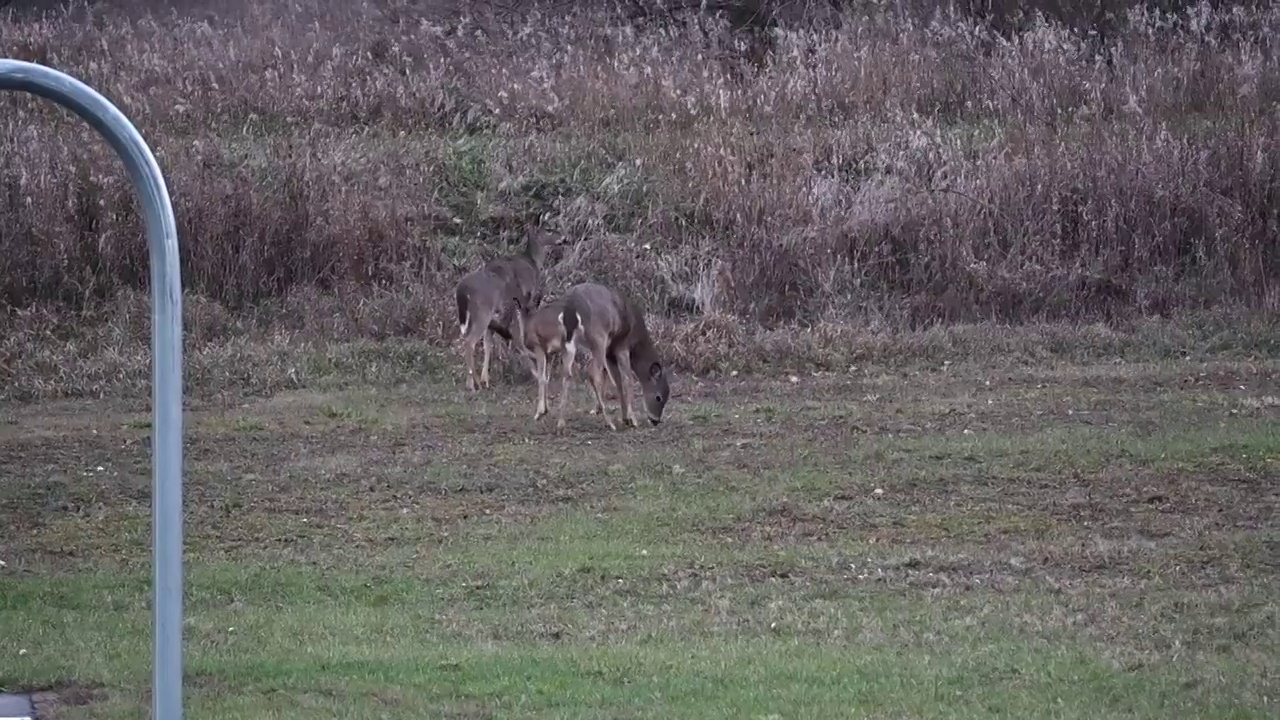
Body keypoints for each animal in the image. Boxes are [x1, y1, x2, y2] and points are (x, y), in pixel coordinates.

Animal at [453, 226, 547, 389]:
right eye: (548, 230)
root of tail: (461, 290)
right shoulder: (523, 304)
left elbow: (489, 344)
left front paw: (487, 378)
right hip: (482, 313)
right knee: (470, 342)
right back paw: (473, 384)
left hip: (473, 316)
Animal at [512, 279, 670, 425]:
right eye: (658, 397)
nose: (655, 420)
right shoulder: (620, 345)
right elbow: (627, 378)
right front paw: (632, 419)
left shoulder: (609, 352)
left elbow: (616, 379)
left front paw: (624, 416)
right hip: (598, 337)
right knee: (592, 372)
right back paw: (608, 421)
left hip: (576, 345)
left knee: (571, 373)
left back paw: (561, 421)